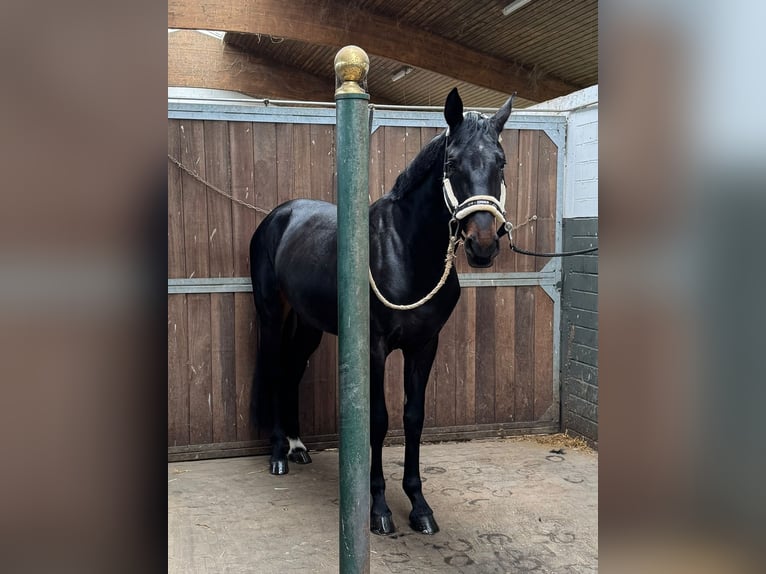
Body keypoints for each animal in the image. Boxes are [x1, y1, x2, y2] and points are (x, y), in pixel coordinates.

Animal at [249, 88, 514, 535]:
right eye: (452, 163)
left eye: (501, 162)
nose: (482, 244)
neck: (405, 250)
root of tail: (278, 216)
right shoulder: (374, 347)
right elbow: (378, 420)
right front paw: (378, 509)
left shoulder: (424, 345)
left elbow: (413, 417)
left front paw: (419, 506)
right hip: (272, 313)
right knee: (273, 367)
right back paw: (279, 455)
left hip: (309, 324)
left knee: (292, 369)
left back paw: (298, 446)